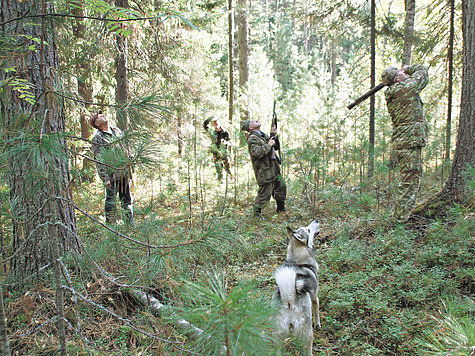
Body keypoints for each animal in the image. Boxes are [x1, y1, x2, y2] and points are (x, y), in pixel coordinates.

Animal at [274, 220, 322, 354]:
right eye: (308, 230)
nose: (316, 220)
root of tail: (288, 299)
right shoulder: (315, 298)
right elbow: (316, 312)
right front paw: (318, 325)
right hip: (307, 332)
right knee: (308, 348)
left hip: (278, 333)